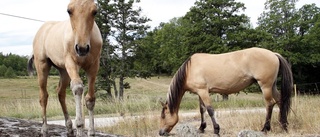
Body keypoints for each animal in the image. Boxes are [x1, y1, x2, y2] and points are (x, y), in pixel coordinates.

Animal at [28, 0, 102, 136]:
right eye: (69, 11)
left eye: (95, 11)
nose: (82, 48)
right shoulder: (71, 63)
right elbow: (77, 88)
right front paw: (79, 127)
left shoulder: (93, 66)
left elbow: (90, 99)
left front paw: (91, 132)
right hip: (42, 66)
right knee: (43, 96)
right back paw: (44, 130)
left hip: (64, 71)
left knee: (60, 93)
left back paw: (69, 128)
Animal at [159, 47, 294, 135]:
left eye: (163, 116)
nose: (160, 132)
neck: (190, 69)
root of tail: (273, 54)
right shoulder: (200, 92)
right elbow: (202, 109)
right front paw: (201, 128)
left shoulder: (203, 91)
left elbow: (210, 110)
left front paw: (216, 129)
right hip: (272, 86)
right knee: (280, 102)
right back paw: (284, 126)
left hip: (265, 86)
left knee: (269, 104)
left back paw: (265, 129)